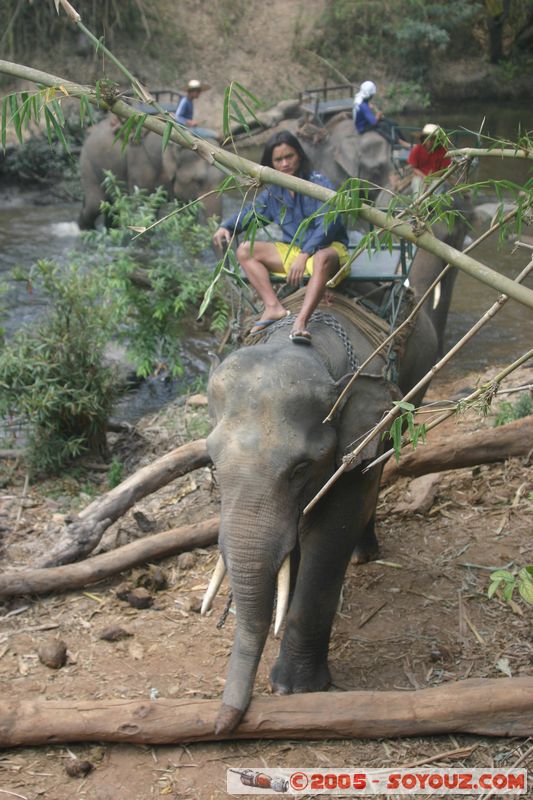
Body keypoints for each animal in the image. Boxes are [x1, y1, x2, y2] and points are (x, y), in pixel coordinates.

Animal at [78, 115, 222, 229]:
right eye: (199, 180)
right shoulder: (142, 163)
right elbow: (142, 203)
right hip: (88, 163)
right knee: (96, 203)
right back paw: (85, 231)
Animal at [203, 214, 467, 735]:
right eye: (214, 470)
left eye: (302, 468)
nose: (222, 725)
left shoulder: (360, 427)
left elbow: (332, 528)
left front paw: (294, 688)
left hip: (415, 386)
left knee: (376, 473)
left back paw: (365, 552)